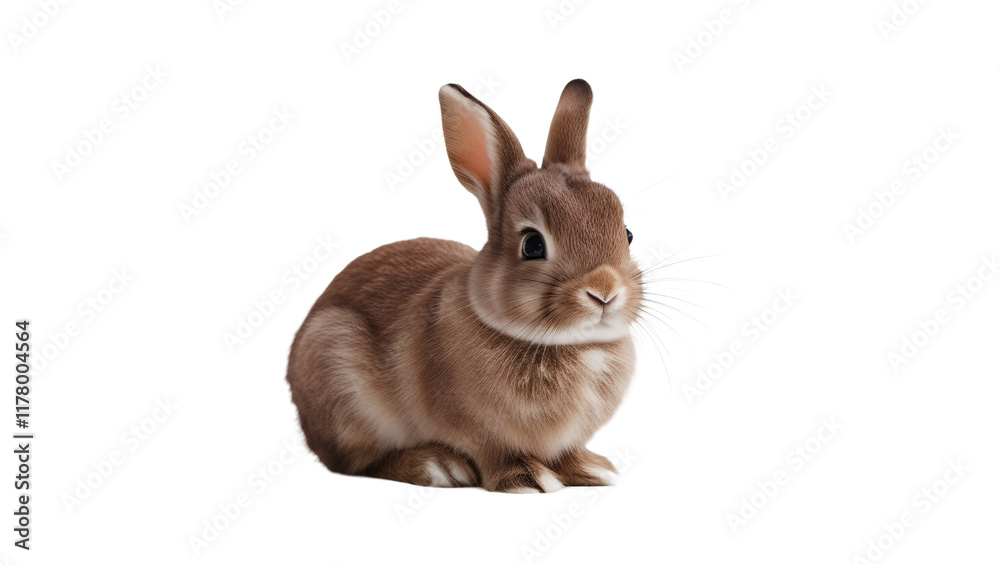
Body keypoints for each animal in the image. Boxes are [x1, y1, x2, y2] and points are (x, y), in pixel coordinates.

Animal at [286, 79, 642, 493]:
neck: (572, 345)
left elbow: (568, 453)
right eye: (533, 245)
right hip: (342, 378)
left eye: (627, 234)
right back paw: (437, 466)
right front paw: (530, 479)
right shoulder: (479, 432)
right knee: (358, 462)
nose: (604, 291)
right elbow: (494, 453)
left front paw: (594, 470)